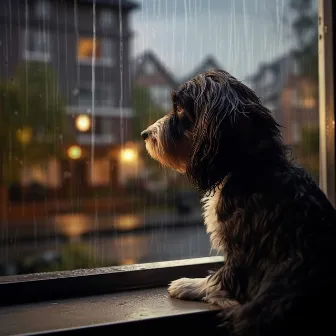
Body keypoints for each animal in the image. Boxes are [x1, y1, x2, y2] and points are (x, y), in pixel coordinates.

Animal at [140, 69, 336, 334]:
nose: (145, 135)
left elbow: (221, 279)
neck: (250, 165)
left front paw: (189, 284)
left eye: (179, 109)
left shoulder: (243, 251)